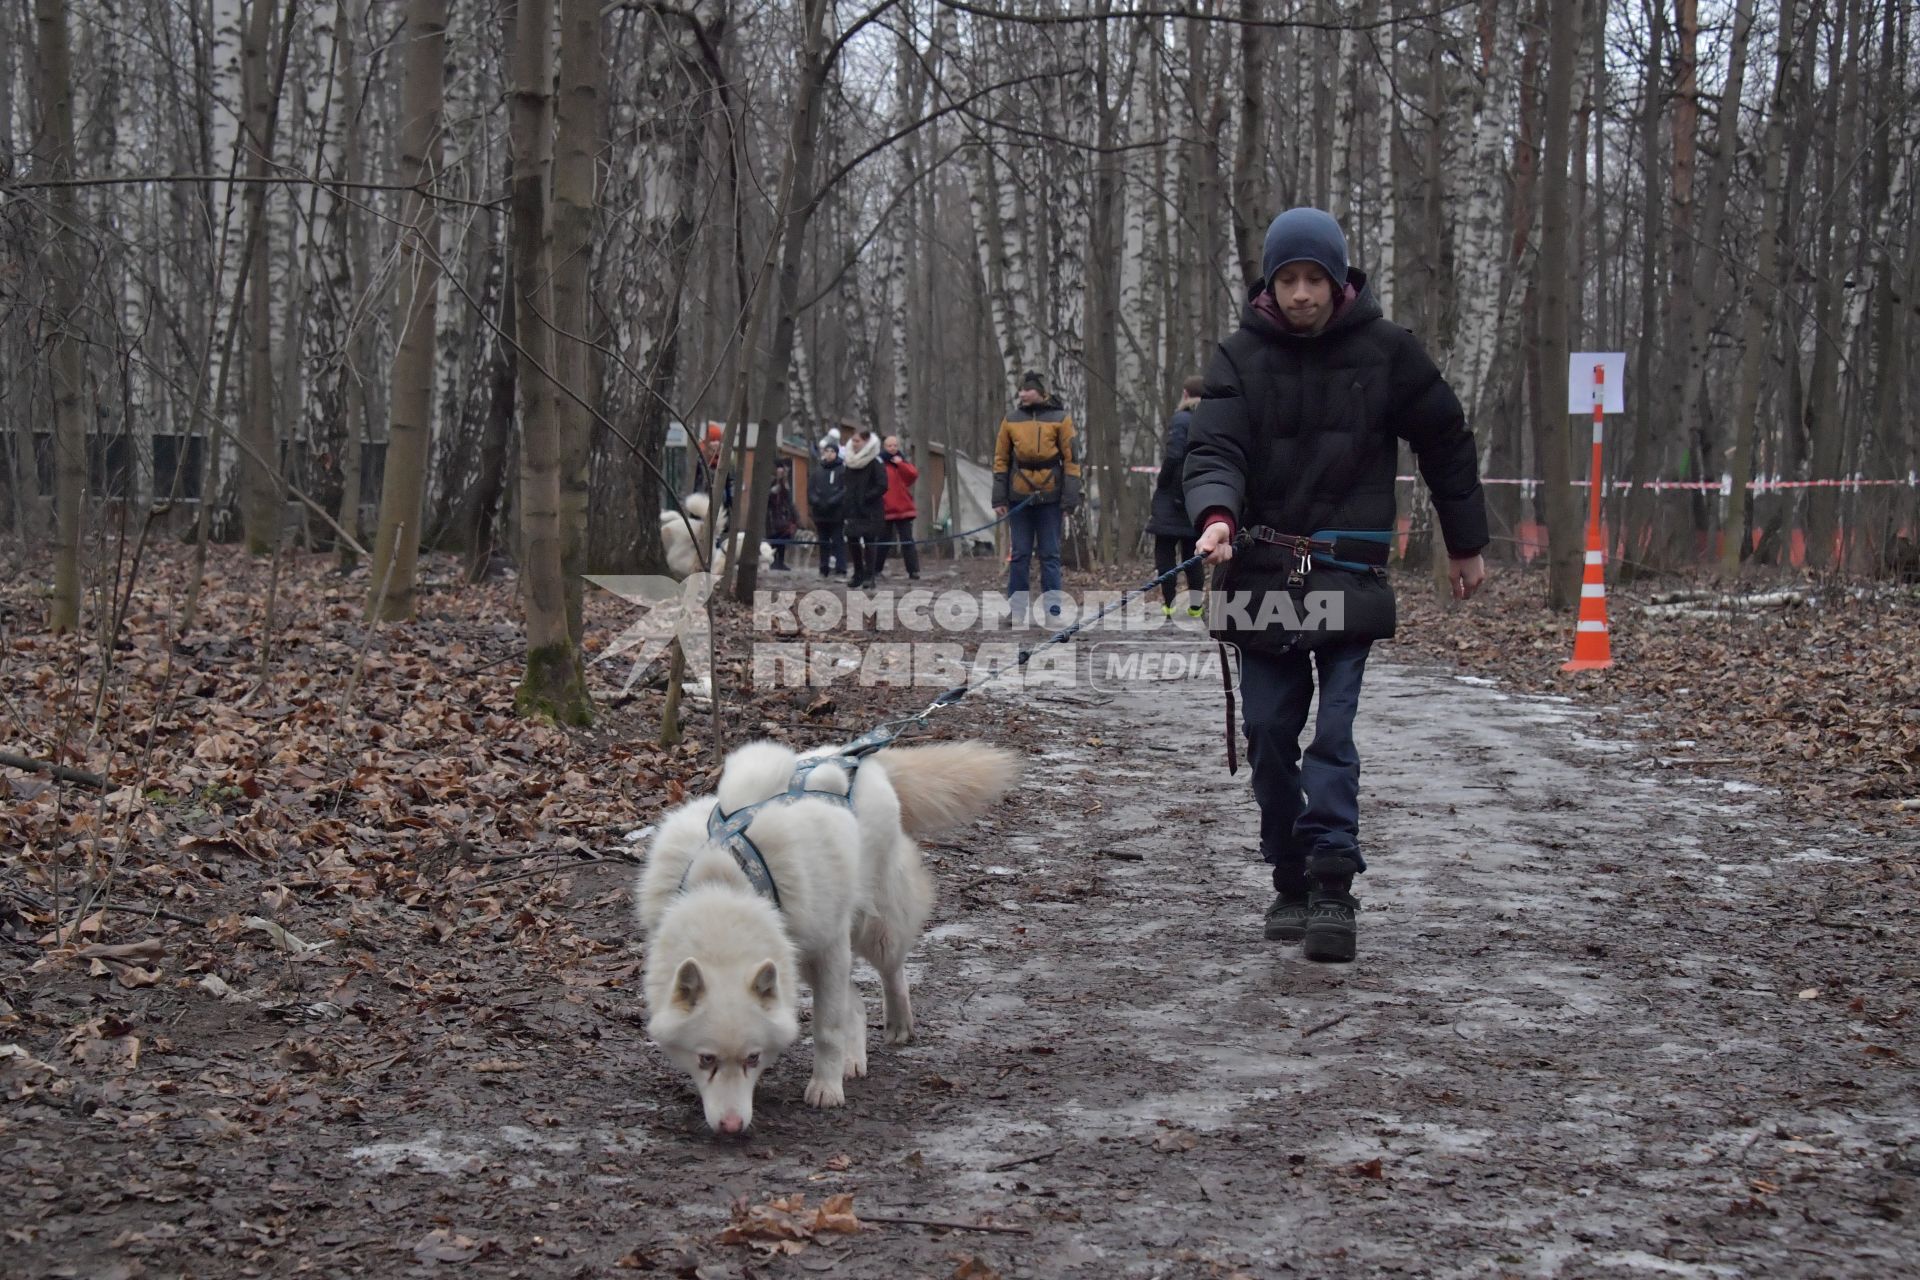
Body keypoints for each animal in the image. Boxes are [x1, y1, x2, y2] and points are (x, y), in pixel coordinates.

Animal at [633, 736, 1021, 1136]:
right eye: (706, 1059)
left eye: (753, 1058)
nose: (731, 1126)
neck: (725, 884)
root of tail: (858, 758)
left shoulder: (829, 947)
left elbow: (827, 1028)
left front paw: (825, 1088)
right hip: (805, 957)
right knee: (856, 1001)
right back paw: (854, 1059)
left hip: (872, 932)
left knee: (892, 973)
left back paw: (898, 1025)